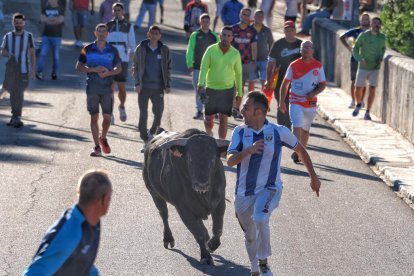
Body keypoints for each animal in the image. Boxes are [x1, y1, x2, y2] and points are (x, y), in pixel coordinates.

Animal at [142, 128, 230, 264]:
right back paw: (168, 239)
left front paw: (212, 245)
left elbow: (217, 229)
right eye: (190, 159)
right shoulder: (183, 209)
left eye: (213, 160)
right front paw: (206, 256)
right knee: (164, 214)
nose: (201, 184)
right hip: (155, 194)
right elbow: (198, 233)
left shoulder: (220, 203)